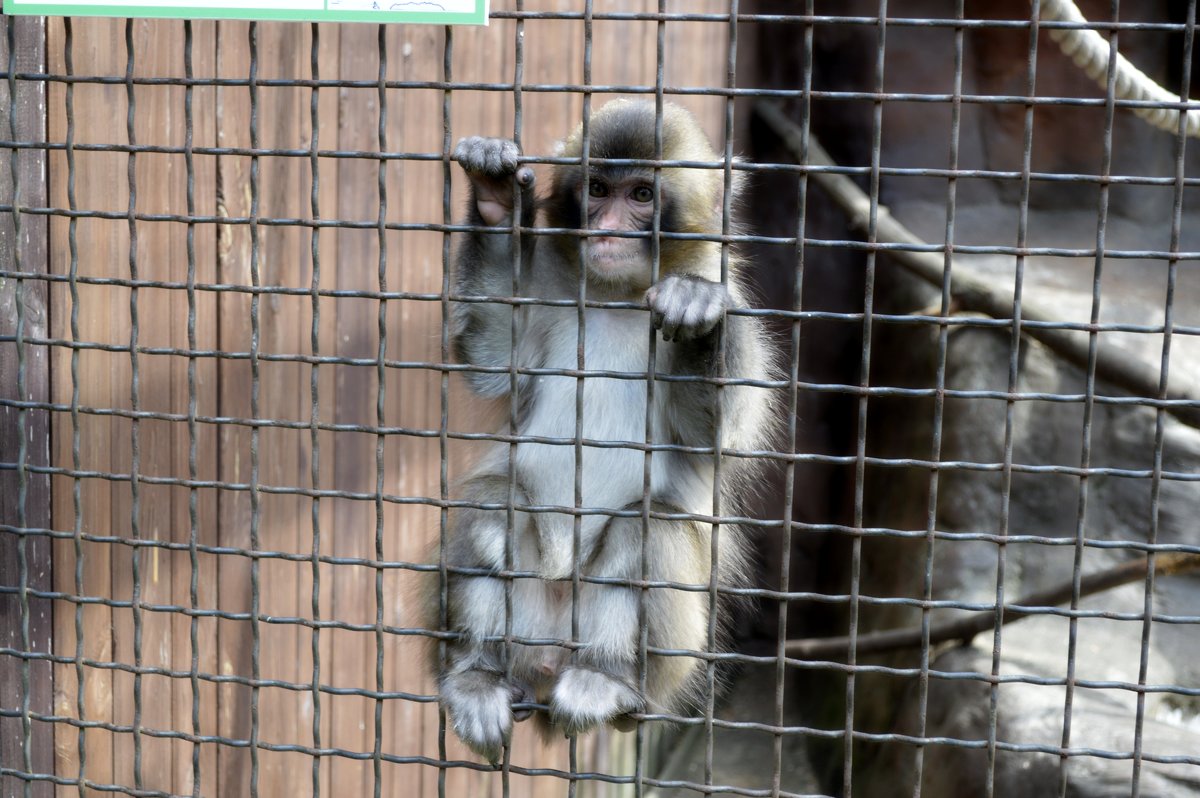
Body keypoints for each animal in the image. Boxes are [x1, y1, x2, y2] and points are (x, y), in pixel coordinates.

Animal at [434, 99, 777, 758]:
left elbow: (715, 433)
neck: (618, 296)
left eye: (641, 194)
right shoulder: (547, 297)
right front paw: (495, 199)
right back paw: (479, 675)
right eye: (597, 189)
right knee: (496, 503)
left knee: (652, 528)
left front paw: (700, 312)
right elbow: (493, 357)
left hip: (667, 660)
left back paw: (606, 678)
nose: (611, 228)